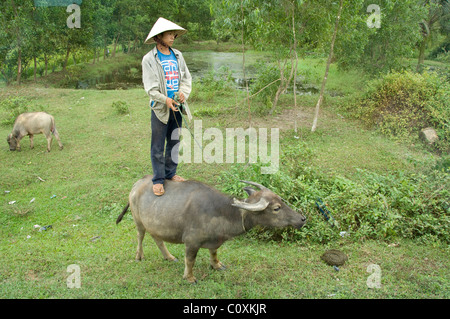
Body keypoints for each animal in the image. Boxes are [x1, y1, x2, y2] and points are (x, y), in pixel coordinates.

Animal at [116, 176, 306, 284]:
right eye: (276, 208)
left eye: (281, 200)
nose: (302, 219)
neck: (221, 212)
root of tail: (136, 185)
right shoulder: (191, 243)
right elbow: (190, 260)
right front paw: (190, 278)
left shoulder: (215, 242)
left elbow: (214, 253)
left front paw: (217, 265)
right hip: (138, 220)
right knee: (140, 236)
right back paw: (139, 256)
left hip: (155, 223)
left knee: (157, 238)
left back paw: (169, 257)